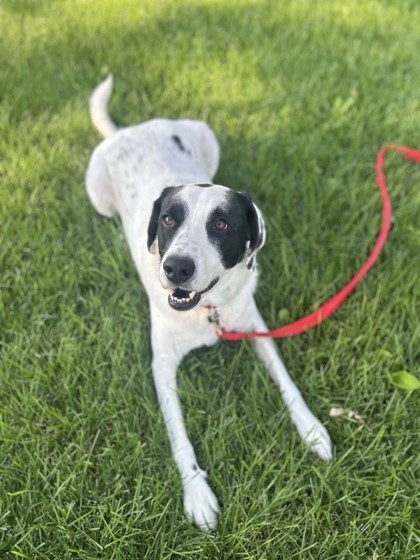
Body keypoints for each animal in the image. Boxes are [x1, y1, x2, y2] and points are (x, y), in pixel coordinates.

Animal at [85, 76, 334, 532]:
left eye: (222, 223)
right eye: (168, 219)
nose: (176, 268)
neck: (209, 311)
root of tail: (129, 130)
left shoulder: (255, 326)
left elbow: (287, 382)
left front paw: (311, 430)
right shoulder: (162, 366)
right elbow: (179, 437)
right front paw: (197, 493)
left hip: (207, 136)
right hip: (98, 193)